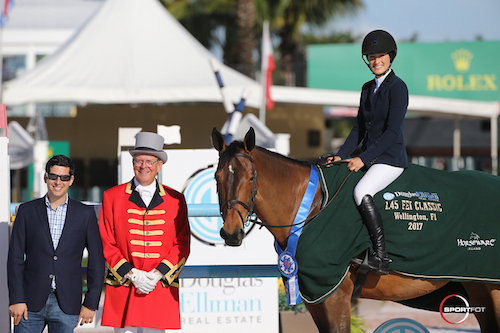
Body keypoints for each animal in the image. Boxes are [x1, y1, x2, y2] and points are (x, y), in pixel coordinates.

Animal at [211, 126, 500, 330]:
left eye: (251, 178)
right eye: (216, 176)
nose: (231, 233)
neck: (311, 206)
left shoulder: (335, 294)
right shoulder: (314, 296)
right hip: (478, 286)